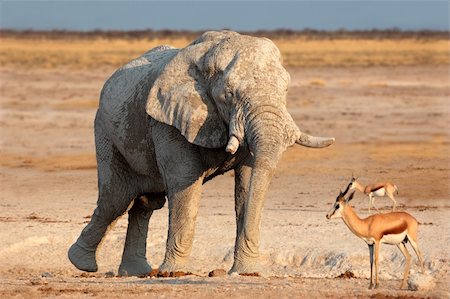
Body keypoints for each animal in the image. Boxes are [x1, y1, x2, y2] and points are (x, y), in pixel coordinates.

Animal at [67, 30, 334, 276]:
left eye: (286, 90)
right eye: (228, 95)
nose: (243, 272)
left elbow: (247, 183)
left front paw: (246, 271)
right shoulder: (168, 121)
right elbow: (184, 185)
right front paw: (173, 273)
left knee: (144, 203)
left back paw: (136, 272)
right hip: (105, 131)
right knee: (116, 199)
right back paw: (82, 263)